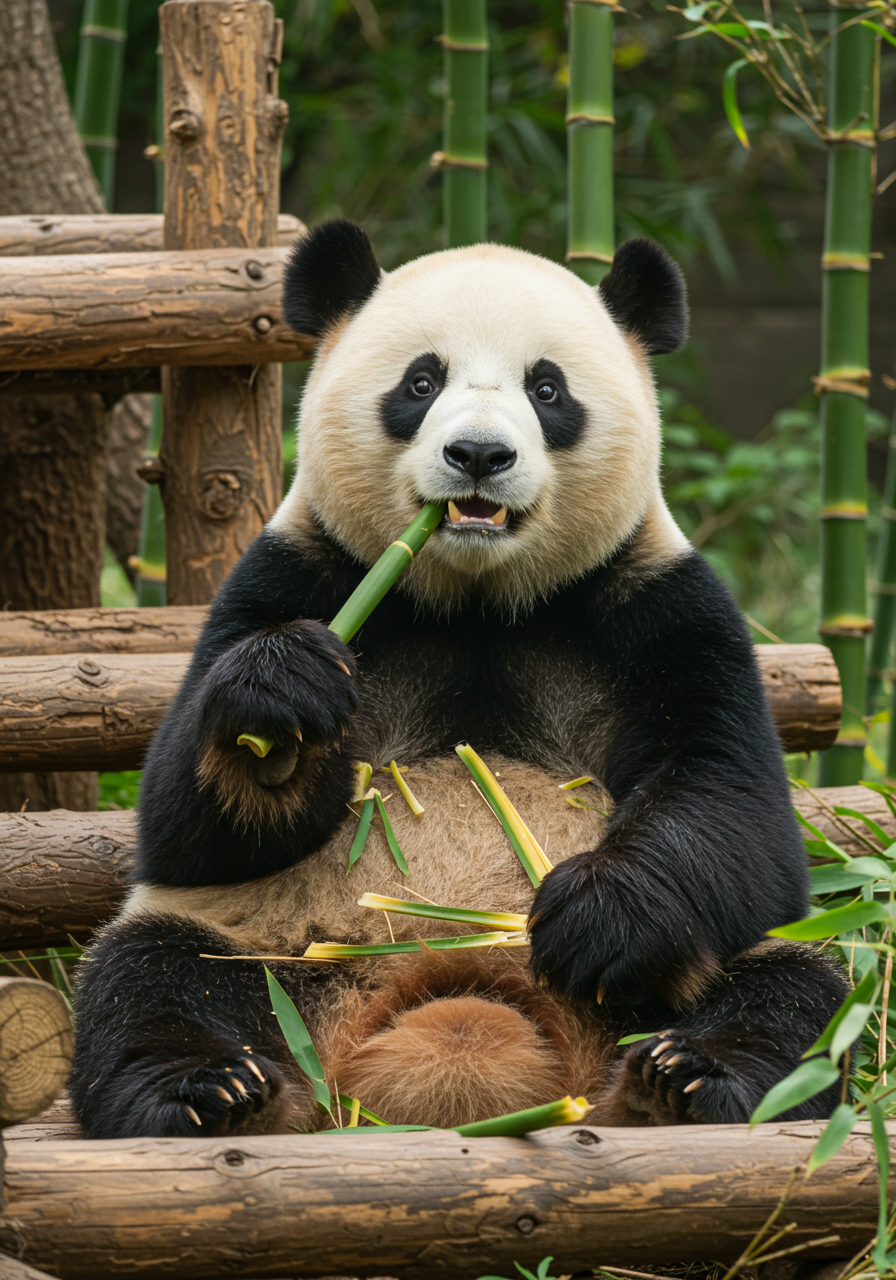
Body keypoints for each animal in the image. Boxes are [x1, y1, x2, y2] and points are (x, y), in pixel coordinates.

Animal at [70, 220, 849, 1139]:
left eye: (547, 389)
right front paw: (280, 706)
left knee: (793, 997)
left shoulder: (660, 604)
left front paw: (598, 916)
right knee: (154, 977)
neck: (478, 600)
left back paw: (682, 1080)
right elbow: (185, 824)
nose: (478, 453)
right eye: (420, 381)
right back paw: (213, 1093)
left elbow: (733, 802)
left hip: (694, 974)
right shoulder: (296, 575)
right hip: (273, 952)